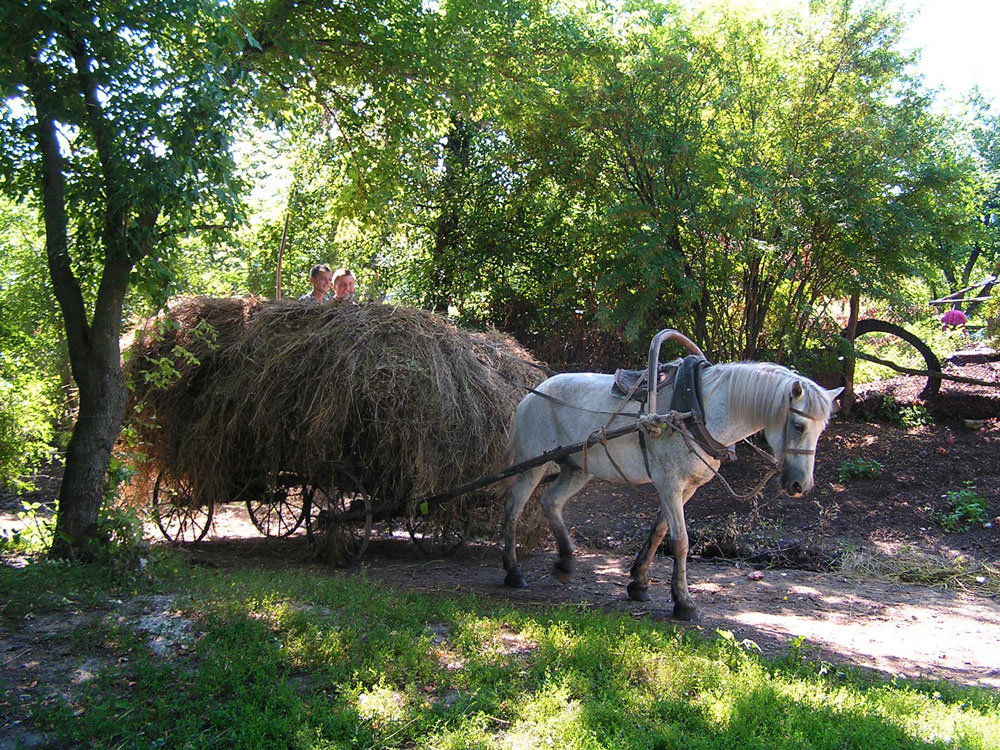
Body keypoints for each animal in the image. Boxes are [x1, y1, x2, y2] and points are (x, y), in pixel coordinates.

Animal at [501, 359, 842, 620]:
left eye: (821, 429)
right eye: (798, 426)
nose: (801, 485)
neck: (700, 410)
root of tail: (532, 395)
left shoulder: (686, 488)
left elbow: (658, 532)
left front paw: (638, 583)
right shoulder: (669, 483)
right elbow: (680, 541)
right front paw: (683, 602)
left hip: (577, 468)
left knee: (550, 502)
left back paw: (565, 561)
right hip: (532, 465)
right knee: (514, 507)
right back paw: (513, 571)